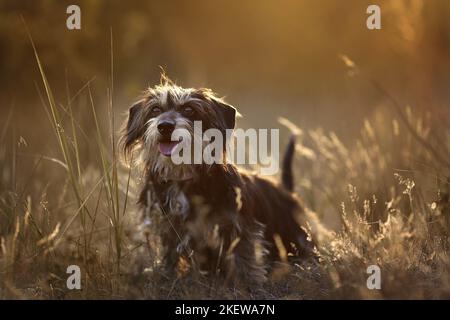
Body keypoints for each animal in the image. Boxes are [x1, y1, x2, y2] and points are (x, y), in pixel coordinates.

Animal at [119, 77, 316, 284]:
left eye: (189, 110)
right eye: (156, 110)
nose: (164, 126)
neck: (183, 177)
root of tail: (287, 190)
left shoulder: (238, 227)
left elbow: (243, 257)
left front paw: (248, 283)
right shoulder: (168, 227)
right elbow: (170, 255)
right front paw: (167, 276)